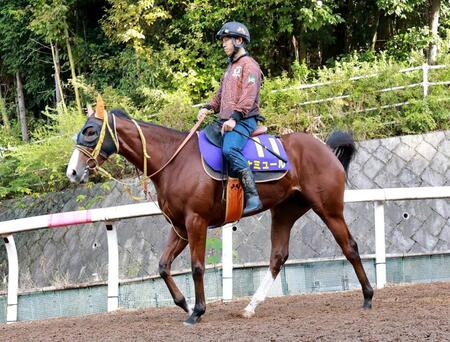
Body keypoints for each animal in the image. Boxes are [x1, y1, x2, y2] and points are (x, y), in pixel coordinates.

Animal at [67, 98, 374, 326]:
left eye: (91, 131)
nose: (72, 172)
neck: (174, 161)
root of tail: (325, 149)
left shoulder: (196, 221)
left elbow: (197, 267)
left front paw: (198, 311)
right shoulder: (179, 226)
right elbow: (163, 266)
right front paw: (184, 304)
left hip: (329, 209)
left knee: (350, 246)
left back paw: (368, 296)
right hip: (285, 211)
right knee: (278, 257)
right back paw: (251, 306)